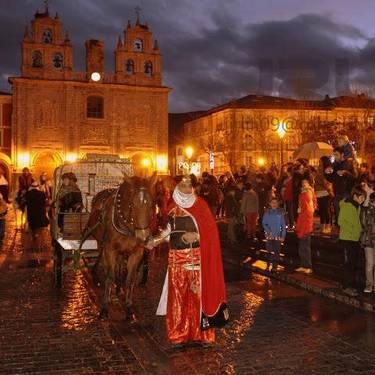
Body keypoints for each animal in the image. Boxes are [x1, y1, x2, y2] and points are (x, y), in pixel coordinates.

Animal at [84, 175, 156, 318]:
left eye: (152, 204)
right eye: (132, 204)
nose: (144, 237)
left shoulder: (137, 252)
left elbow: (130, 278)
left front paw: (128, 307)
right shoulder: (110, 249)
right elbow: (109, 276)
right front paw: (105, 306)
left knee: (120, 265)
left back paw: (119, 288)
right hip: (102, 244)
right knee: (107, 266)